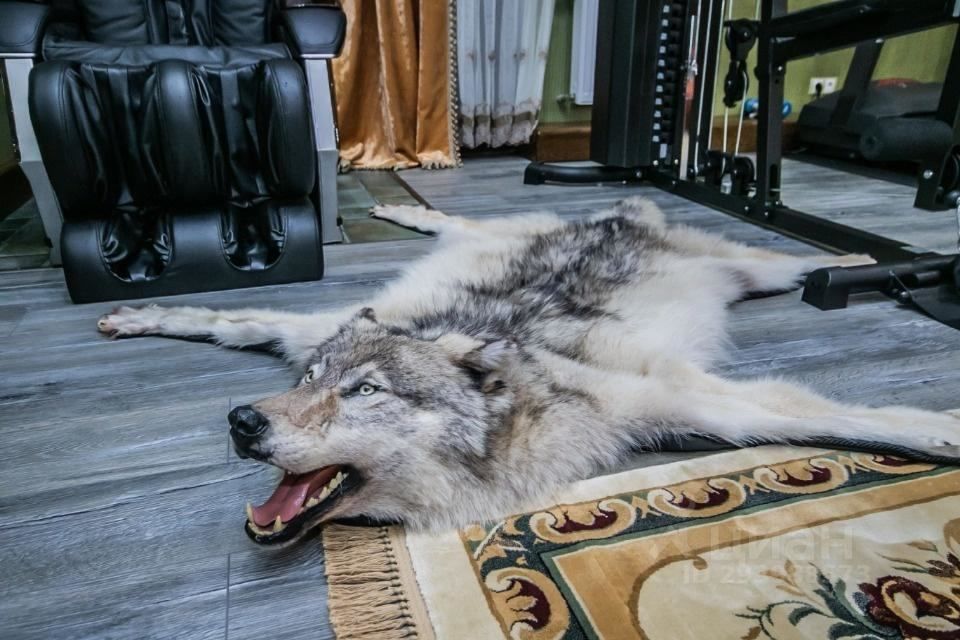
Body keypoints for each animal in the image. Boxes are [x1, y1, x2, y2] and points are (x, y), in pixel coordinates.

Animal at [96, 198, 960, 544]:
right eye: (309, 379)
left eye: (365, 392)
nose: (242, 421)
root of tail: (618, 214)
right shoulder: (299, 330)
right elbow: (232, 318)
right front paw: (138, 315)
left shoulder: (691, 400)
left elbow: (844, 417)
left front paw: (943, 432)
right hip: (488, 242)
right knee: (461, 221)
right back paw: (410, 211)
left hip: (751, 275)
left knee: (789, 258)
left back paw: (855, 262)